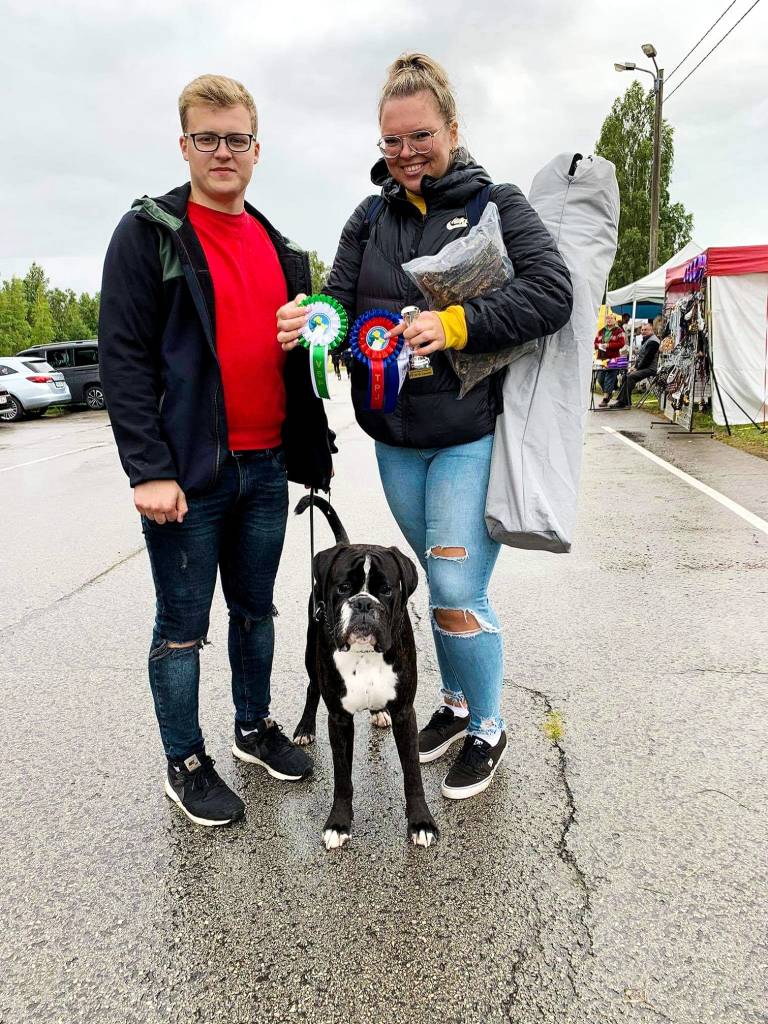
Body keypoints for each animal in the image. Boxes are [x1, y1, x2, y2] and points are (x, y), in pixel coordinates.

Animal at [292, 495, 438, 851]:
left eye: (386, 590)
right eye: (344, 587)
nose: (363, 603)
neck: (366, 654)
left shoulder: (405, 713)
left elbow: (412, 773)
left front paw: (421, 822)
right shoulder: (339, 720)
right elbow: (342, 777)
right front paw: (338, 823)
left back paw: (377, 713)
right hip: (311, 655)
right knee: (312, 688)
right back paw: (304, 727)